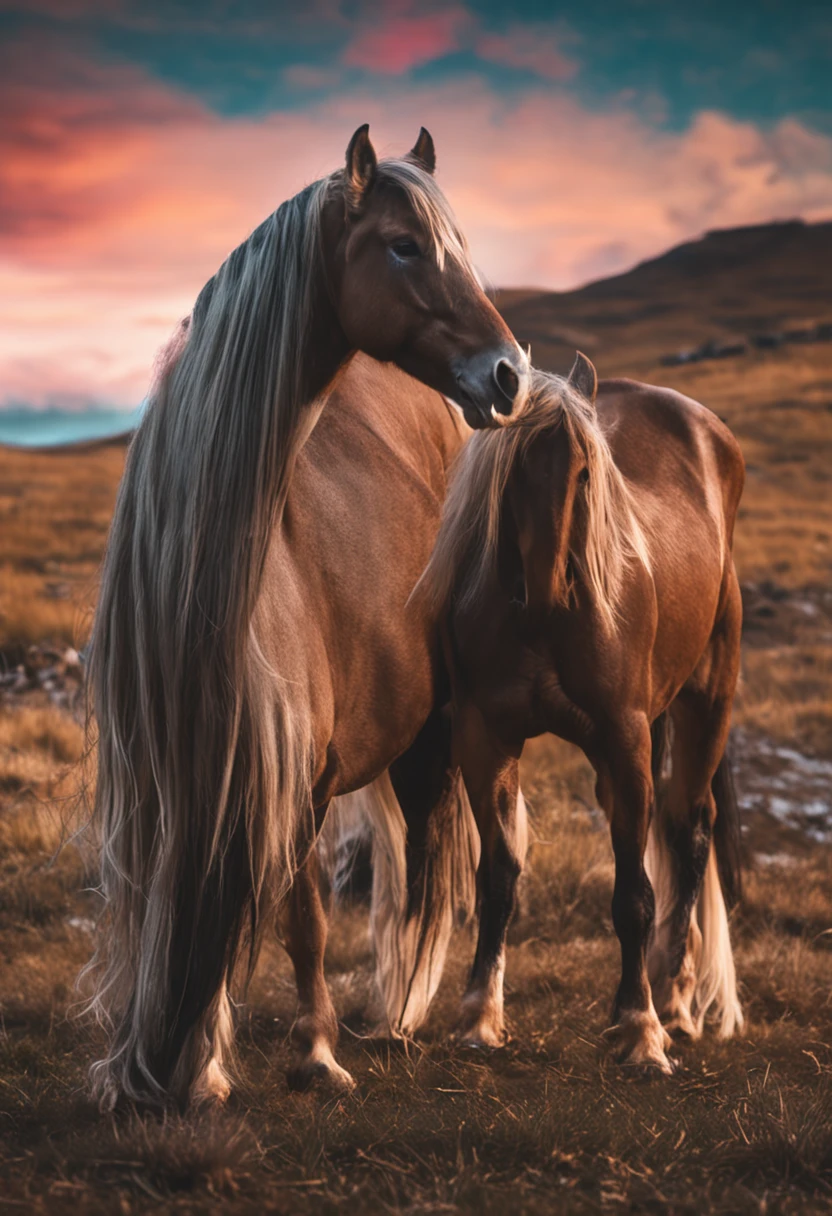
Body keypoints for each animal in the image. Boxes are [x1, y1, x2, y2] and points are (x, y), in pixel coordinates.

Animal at [84, 125, 530, 1113]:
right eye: (403, 246)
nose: (509, 373)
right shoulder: (181, 779)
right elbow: (188, 910)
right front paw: (164, 1066)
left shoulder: (301, 778)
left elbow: (305, 921)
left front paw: (313, 1053)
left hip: (459, 723)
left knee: (469, 856)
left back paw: (436, 1015)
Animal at [416, 355, 749, 1074]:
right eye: (514, 472)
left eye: (586, 473)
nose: (544, 594)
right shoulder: (486, 739)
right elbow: (499, 879)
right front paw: (480, 1014)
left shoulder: (625, 743)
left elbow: (634, 897)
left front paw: (640, 1027)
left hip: (706, 703)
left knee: (689, 830)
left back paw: (676, 1003)